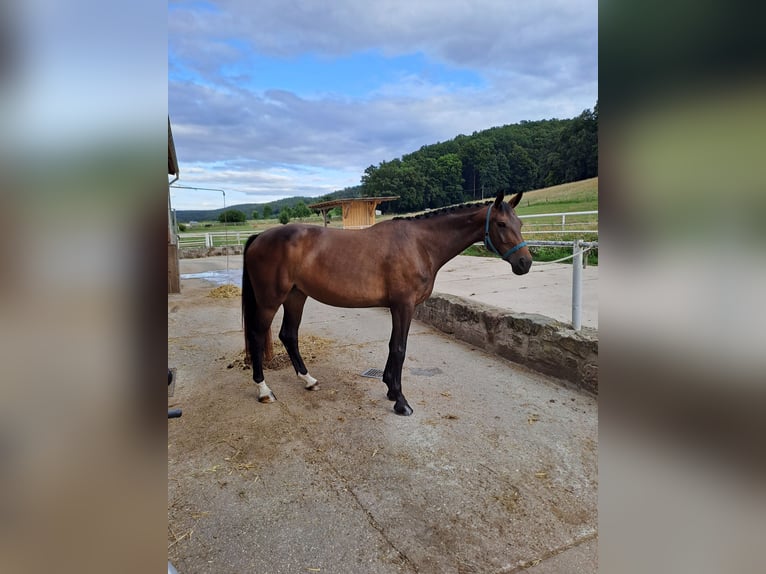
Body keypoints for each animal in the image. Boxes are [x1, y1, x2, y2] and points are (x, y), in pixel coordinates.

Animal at [243, 191, 532, 416]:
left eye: (519, 223)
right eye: (501, 224)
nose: (525, 263)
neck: (420, 244)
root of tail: (260, 237)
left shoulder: (399, 306)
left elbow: (394, 346)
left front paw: (391, 390)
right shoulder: (404, 305)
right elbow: (400, 348)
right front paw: (401, 401)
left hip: (296, 296)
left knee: (288, 335)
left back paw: (308, 380)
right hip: (270, 300)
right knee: (257, 335)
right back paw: (264, 390)